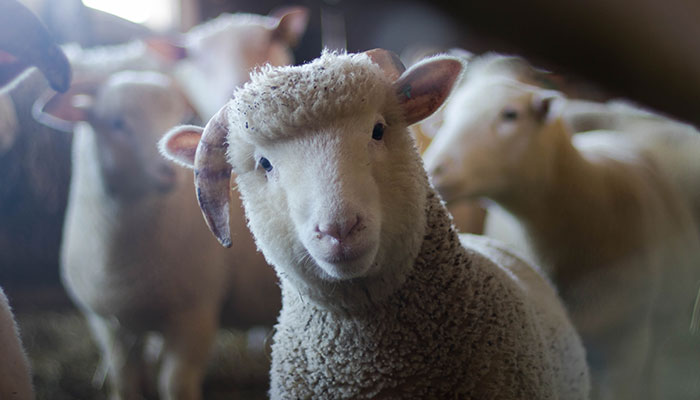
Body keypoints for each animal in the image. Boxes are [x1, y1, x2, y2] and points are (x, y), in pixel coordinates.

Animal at [38, 70, 279, 400]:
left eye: (178, 117)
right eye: (117, 123)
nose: (169, 170)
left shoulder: (195, 314)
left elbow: (175, 383)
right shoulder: (108, 323)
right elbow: (124, 382)